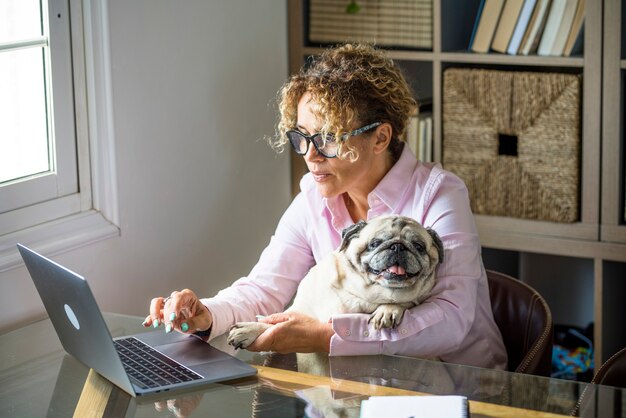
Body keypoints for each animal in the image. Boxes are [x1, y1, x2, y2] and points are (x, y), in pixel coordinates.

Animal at [227, 214, 442, 352]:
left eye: (419, 246)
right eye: (374, 243)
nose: (398, 247)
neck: (361, 292)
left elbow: (400, 302)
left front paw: (388, 310)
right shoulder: (300, 310)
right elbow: (271, 321)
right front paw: (250, 328)